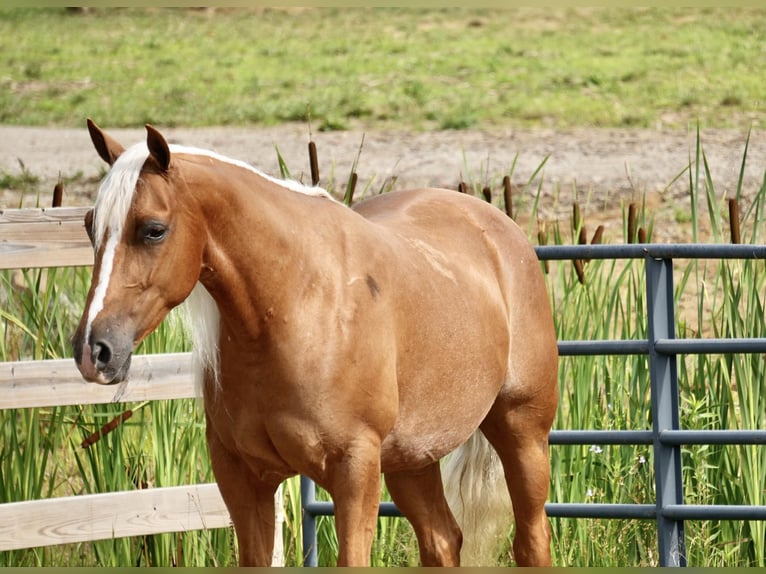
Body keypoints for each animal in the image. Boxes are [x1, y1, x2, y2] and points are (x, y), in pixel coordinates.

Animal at [73, 119, 560, 568]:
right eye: (89, 225)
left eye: (153, 229)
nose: (92, 350)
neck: (294, 306)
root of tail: (497, 226)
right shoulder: (243, 478)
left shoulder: (355, 472)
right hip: (413, 458)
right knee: (442, 541)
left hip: (522, 433)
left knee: (531, 540)